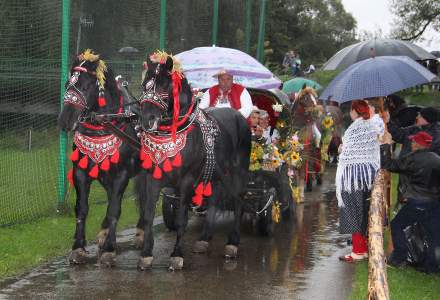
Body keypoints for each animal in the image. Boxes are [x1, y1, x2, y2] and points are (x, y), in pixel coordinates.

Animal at [57, 49, 141, 268]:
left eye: (86, 86)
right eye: (68, 85)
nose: (65, 120)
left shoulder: (121, 175)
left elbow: (114, 209)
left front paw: (109, 250)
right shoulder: (81, 172)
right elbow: (82, 208)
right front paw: (78, 248)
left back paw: (140, 234)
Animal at [134, 51, 251, 270]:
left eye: (164, 86)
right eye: (145, 84)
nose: (147, 119)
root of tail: (238, 116)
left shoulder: (187, 182)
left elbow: (181, 220)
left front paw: (176, 255)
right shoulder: (153, 178)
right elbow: (148, 215)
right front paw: (146, 255)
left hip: (238, 173)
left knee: (238, 201)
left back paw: (233, 243)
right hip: (215, 175)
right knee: (214, 199)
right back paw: (204, 239)